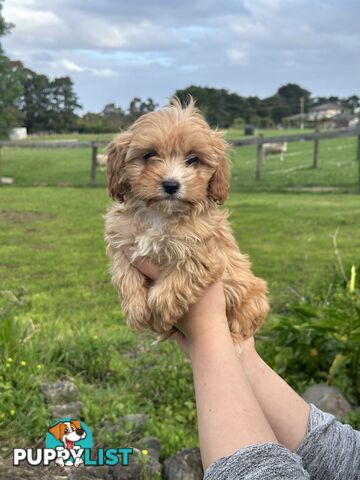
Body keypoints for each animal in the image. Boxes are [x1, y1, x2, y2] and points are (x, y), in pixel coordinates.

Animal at [103, 97, 268, 344]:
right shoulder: (122, 243)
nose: (171, 185)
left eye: (193, 159)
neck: (160, 214)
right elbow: (125, 275)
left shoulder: (203, 253)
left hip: (253, 297)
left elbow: (178, 280)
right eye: (149, 155)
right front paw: (136, 310)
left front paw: (160, 313)